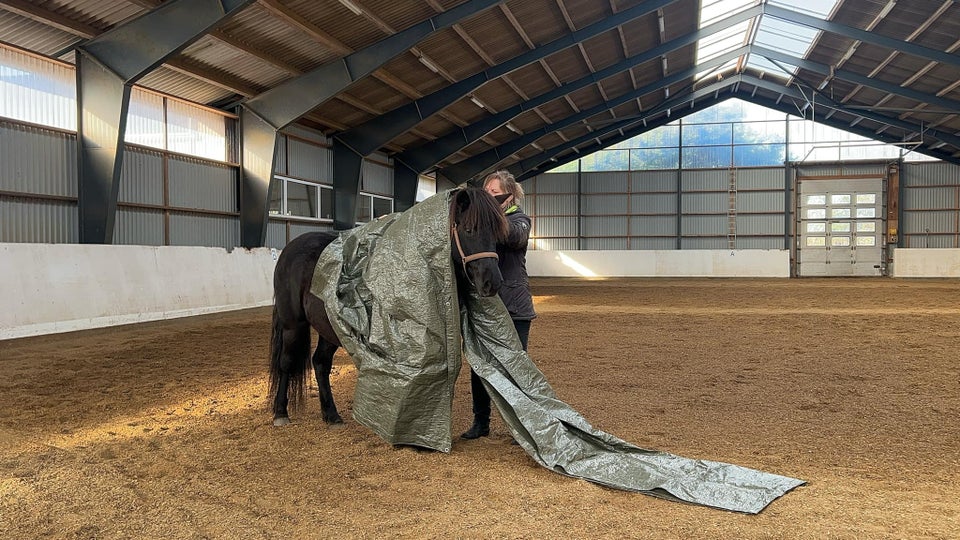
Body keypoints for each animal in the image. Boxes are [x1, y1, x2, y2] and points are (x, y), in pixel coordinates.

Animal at [268, 188, 510, 428]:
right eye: (469, 229)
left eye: (497, 233)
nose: (493, 283)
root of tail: (291, 249)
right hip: (293, 325)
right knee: (286, 363)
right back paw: (281, 413)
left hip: (330, 327)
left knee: (320, 363)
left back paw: (332, 415)